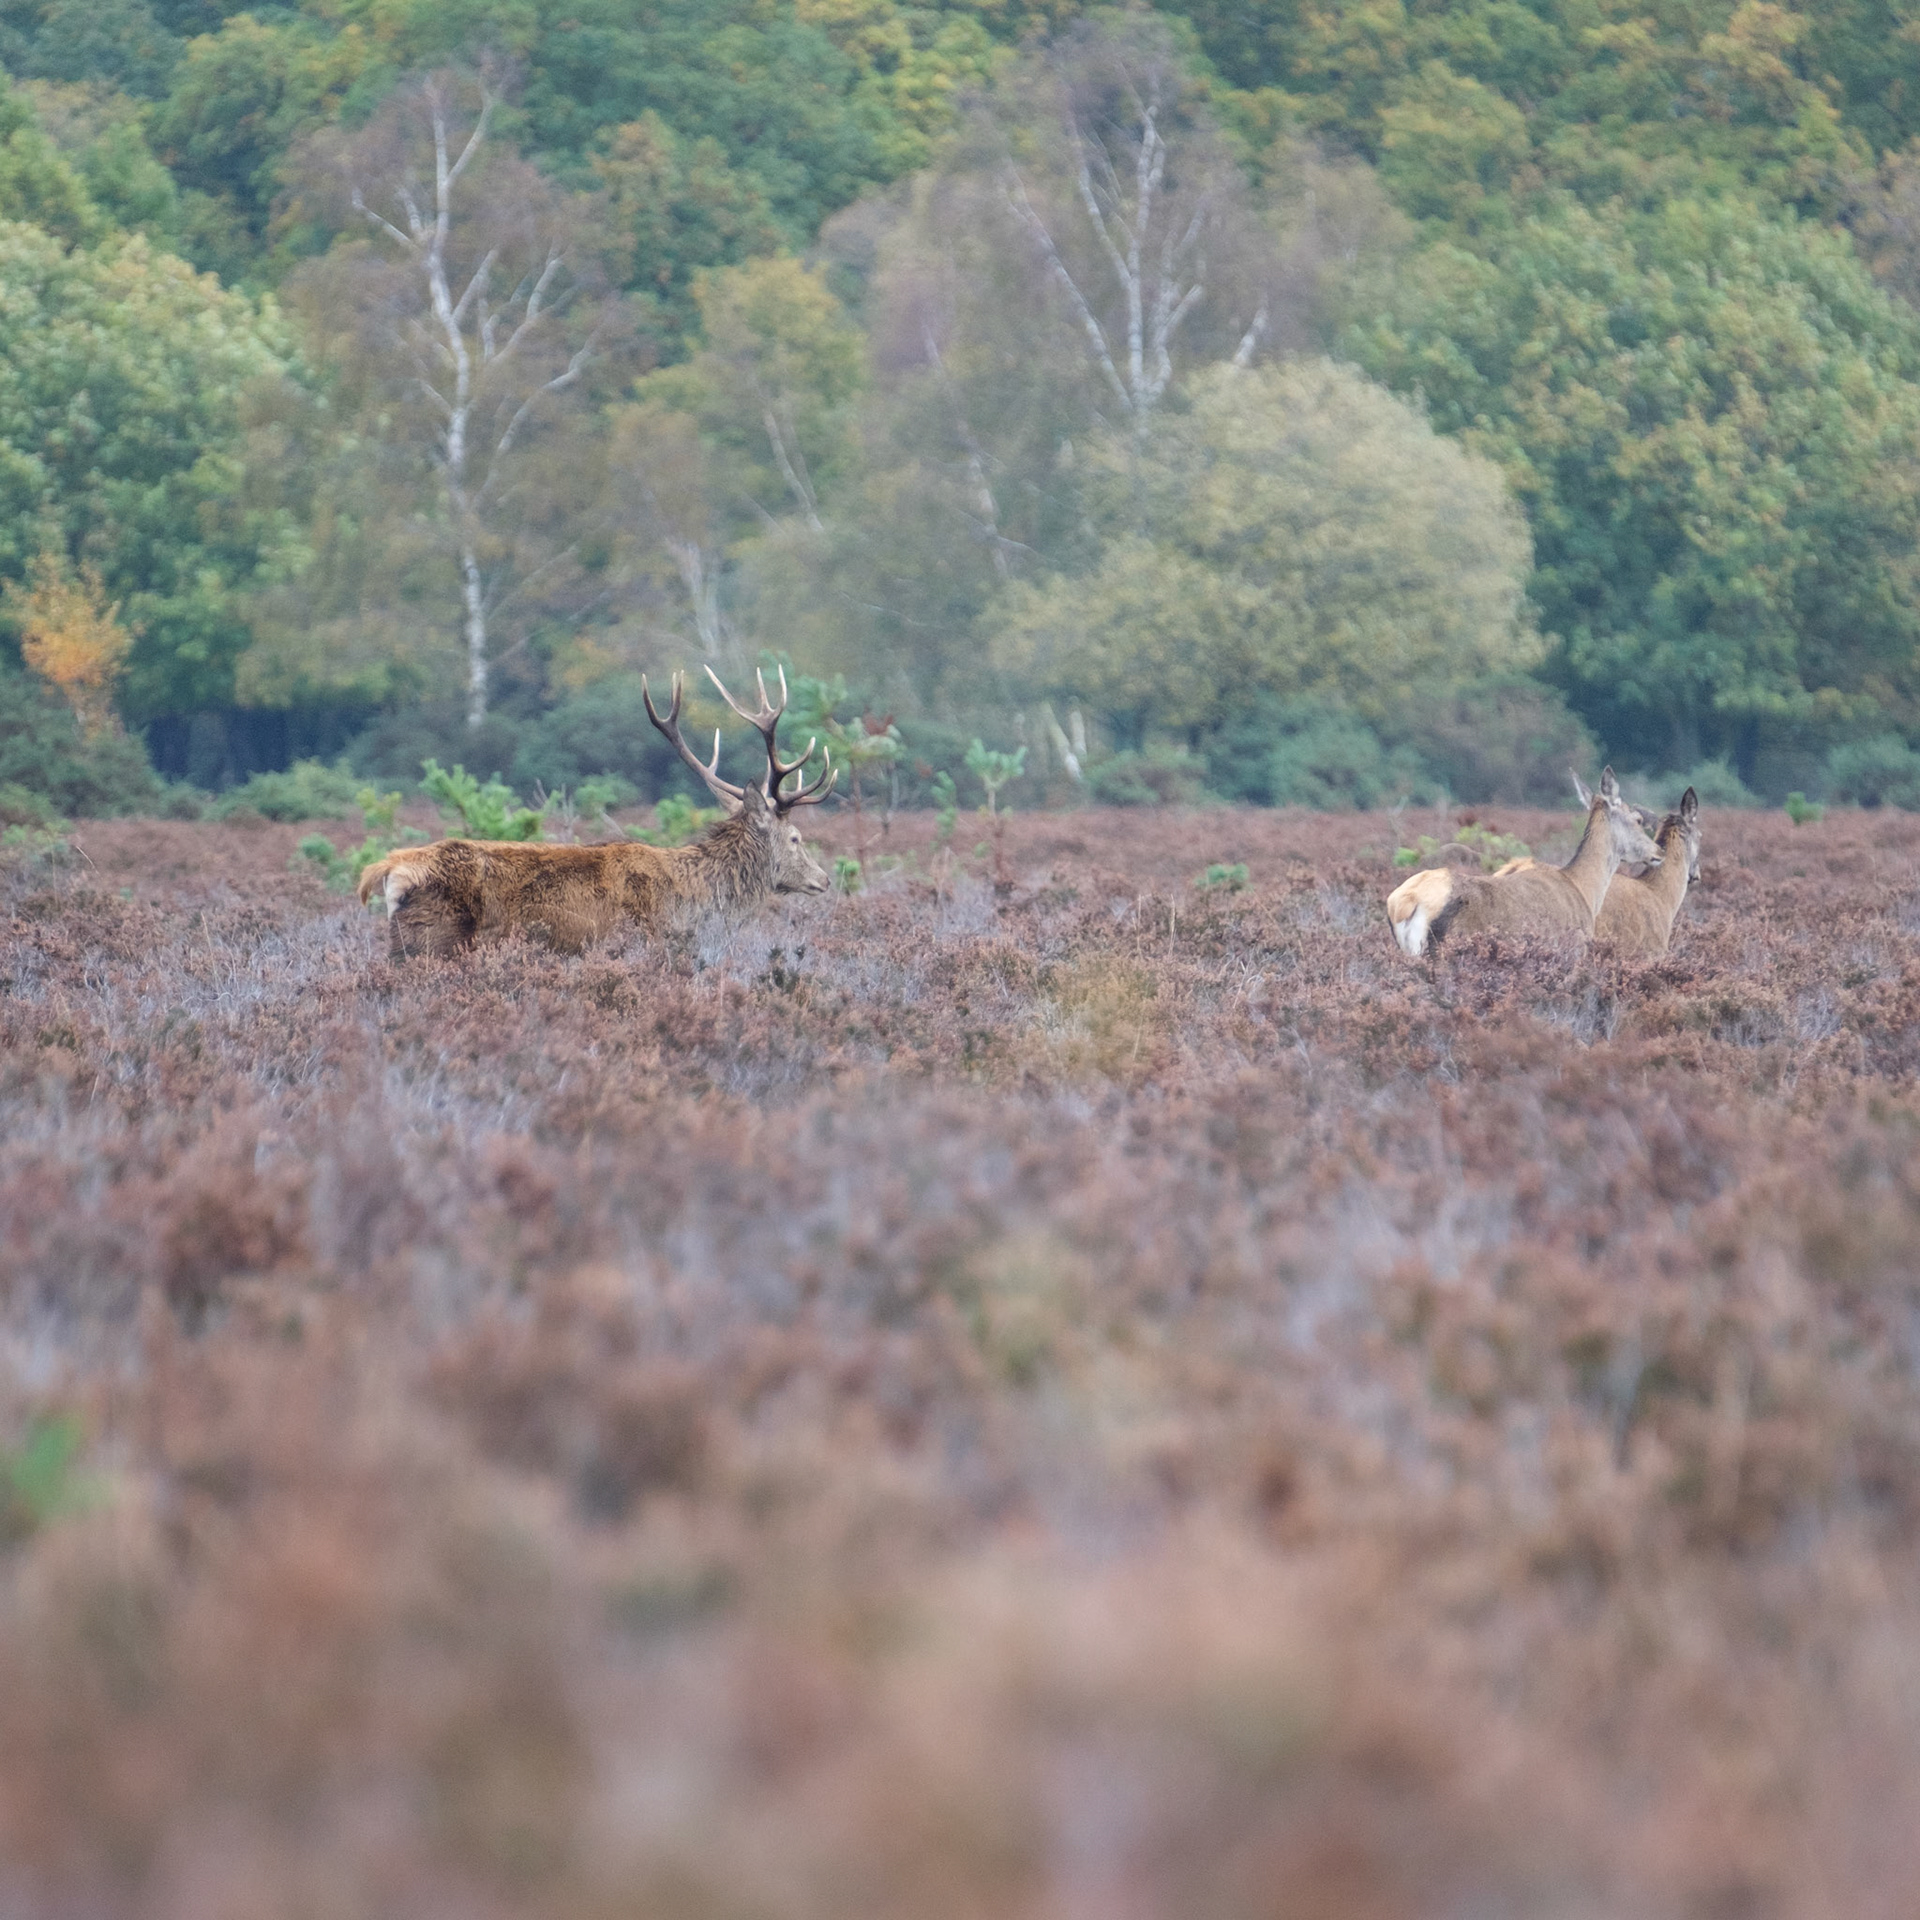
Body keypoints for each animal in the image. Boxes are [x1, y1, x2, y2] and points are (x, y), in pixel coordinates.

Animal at [356, 665, 836, 958]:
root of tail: (389, 868)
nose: (824, 879)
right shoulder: (647, 944)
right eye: (795, 838)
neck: (693, 904)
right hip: (432, 941)